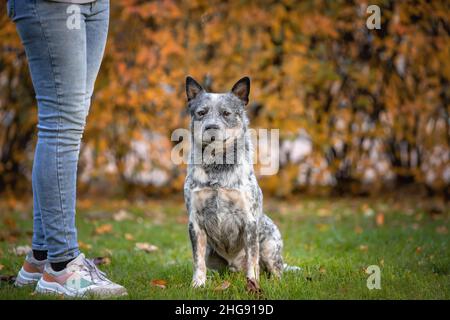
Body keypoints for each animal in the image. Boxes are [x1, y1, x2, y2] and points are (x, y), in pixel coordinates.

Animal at [183, 75, 296, 292]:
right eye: (201, 113)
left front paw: (253, 285)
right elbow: (197, 260)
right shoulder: (195, 222)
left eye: (226, 113)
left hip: (270, 245)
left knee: (274, 270)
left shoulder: (249, 221)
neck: (217, 169)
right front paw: (198, 284)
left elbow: (252, 260)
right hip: (213, 255)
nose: (211, 128)